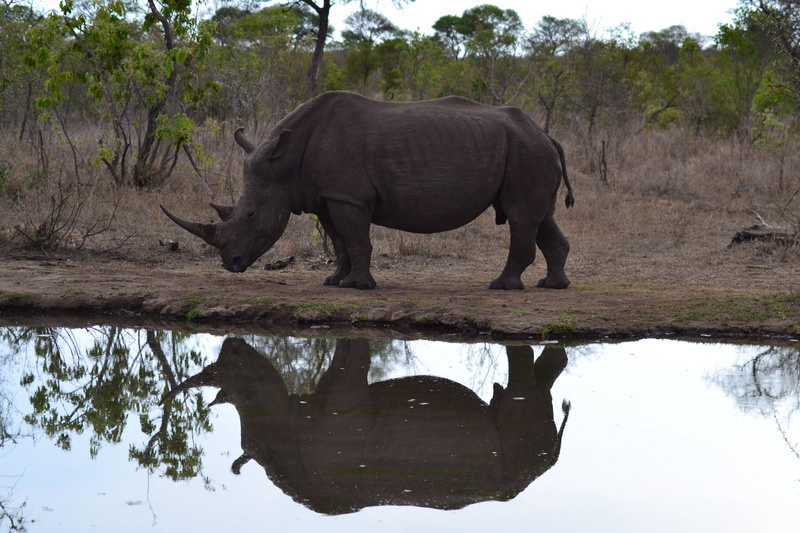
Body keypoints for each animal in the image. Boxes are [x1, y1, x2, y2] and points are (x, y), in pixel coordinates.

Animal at [161, 91, 574, 290]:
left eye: (249, 214)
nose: (229, 264)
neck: (286, 161)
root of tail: (547, 135)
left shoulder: (349, 196)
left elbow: (357, 240)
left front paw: (358, 286)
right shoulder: (326, 196)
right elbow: (340, 241)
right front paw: (334, 282)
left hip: (525, 151)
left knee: (521, 216)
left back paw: (501, 288)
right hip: (528, 150)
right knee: (542, 218)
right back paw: (552, 286)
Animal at [163, 337, 571, 514]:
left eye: (247, 397)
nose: (232, 343)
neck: (279, 440)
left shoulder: (346, 405)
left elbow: (354, 359)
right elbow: (342, 355)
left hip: (515, 457)